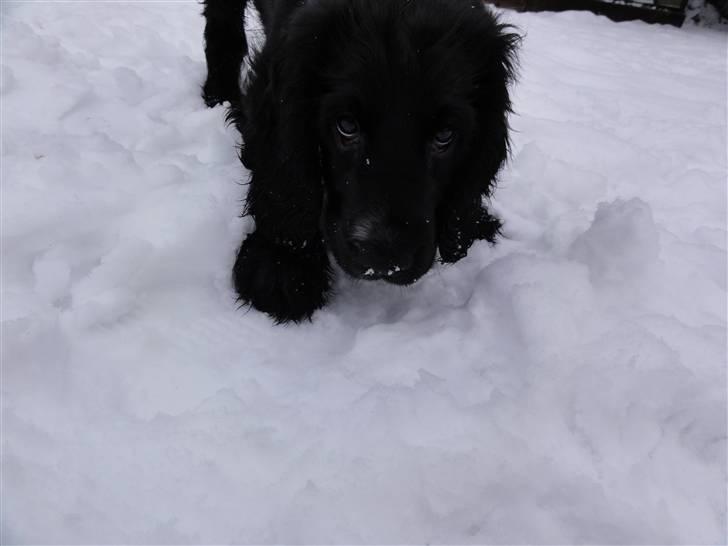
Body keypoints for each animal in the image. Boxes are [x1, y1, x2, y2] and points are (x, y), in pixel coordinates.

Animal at [199, 0, 516, 320]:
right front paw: (283, 264)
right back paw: (218, 96)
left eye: (444, 136)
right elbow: (287, 170)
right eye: (347, 126)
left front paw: (472, 225)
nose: (385, 256)